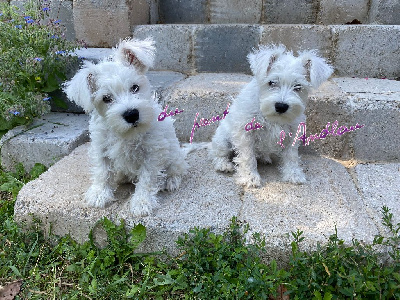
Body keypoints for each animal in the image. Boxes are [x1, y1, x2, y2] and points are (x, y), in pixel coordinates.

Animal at [63, 38, 188, 216]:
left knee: (177, 167)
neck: (126, 134)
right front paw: (99, 193)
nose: (131, 114)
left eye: (135, 87)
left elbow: (147, 179)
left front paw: (142, 202)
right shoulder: (101, 147)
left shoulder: (152, 153)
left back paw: (170, 180)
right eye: (106, 98)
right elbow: (102, 171)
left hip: (174, 154)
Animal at [211, 45, 332, 186]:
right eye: (272, 82)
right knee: (217, 154)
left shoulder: (292, 133)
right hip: (223, 140)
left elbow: (291, 156)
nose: (281, 106)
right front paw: (250, 177)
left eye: (298, 86)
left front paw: (294, 174)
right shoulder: (245, 133)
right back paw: (223, 165)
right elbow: (248, 157)